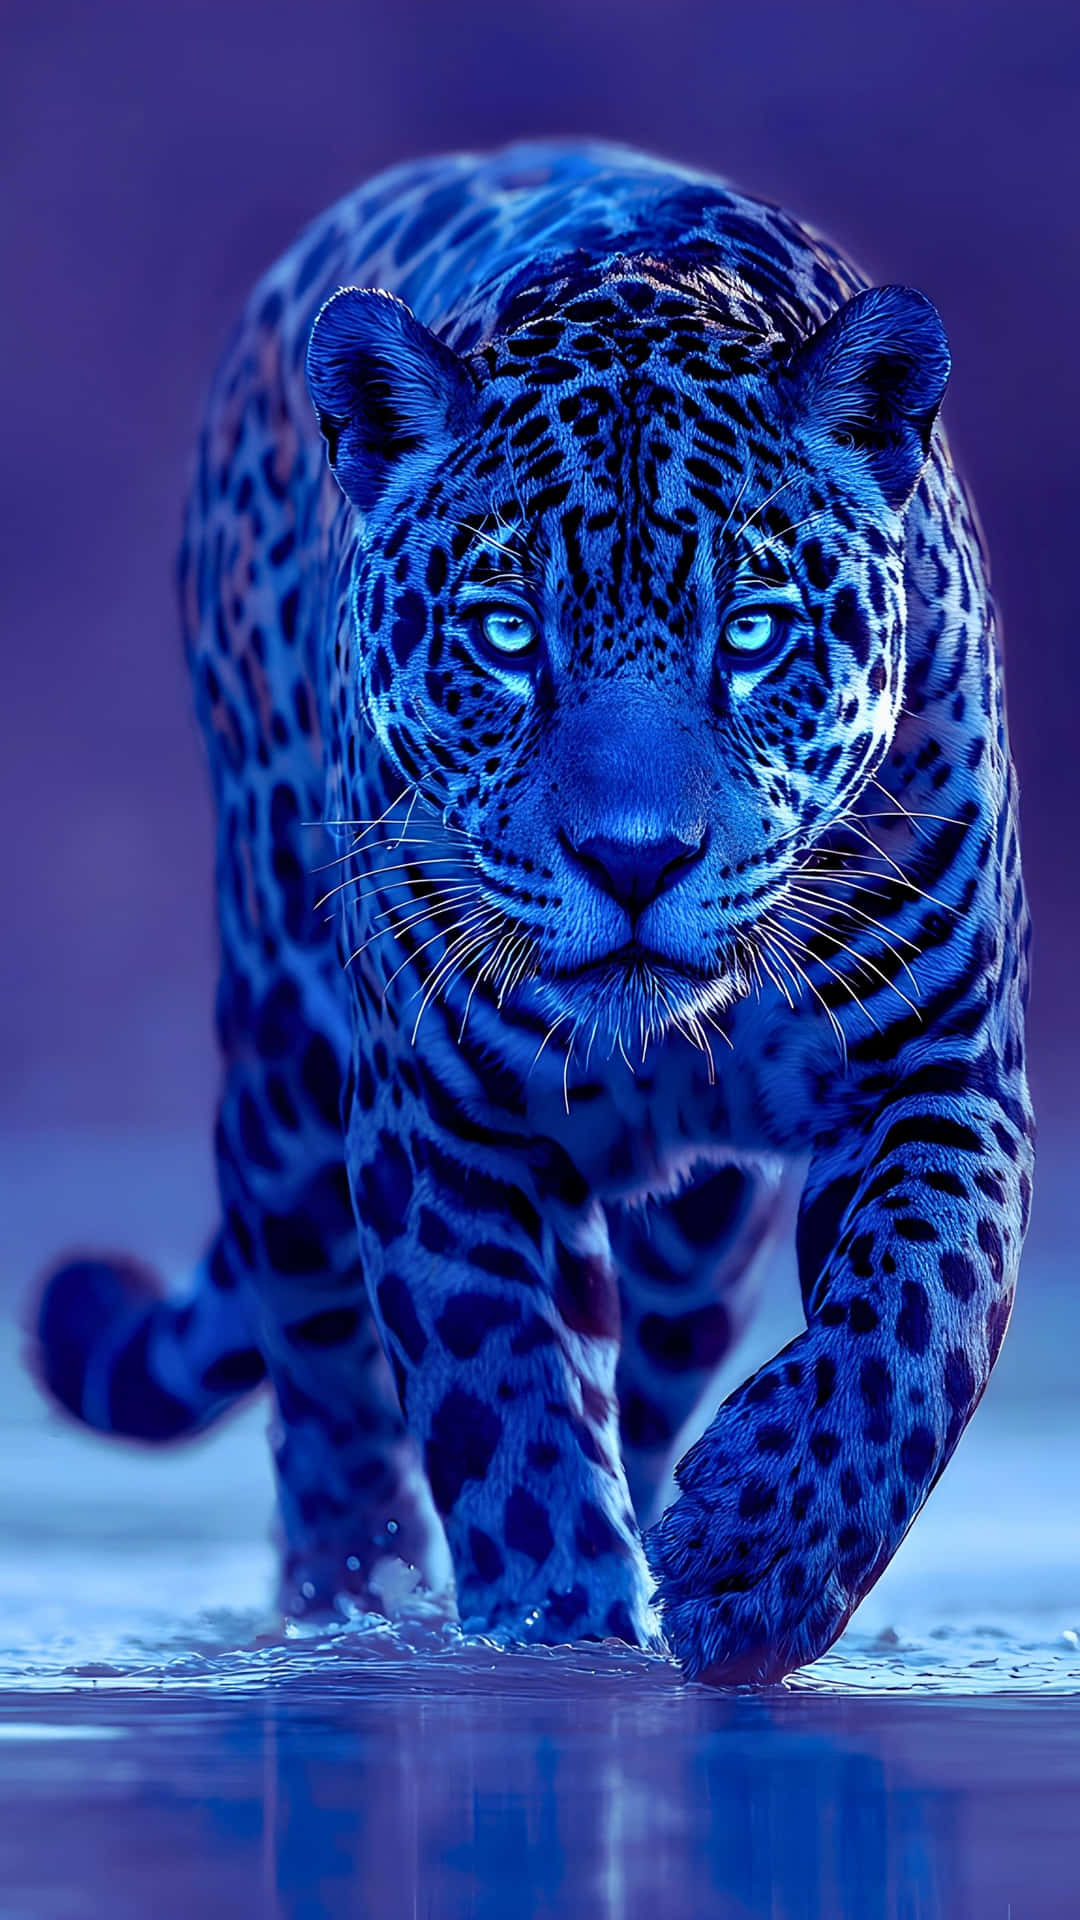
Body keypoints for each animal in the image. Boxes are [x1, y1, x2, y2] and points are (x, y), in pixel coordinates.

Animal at [33, 140, 1033, 1684]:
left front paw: (757, 1563)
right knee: (327, 1400)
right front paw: (556, 1647)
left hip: (699, 1242)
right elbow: (503, 1419)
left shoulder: (942, 1065)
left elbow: (921, 1314)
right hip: (284, 1082)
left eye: (754, 634)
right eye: (507, 635)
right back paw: (352, 1614)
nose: (634, 860)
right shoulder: (439, 1125)